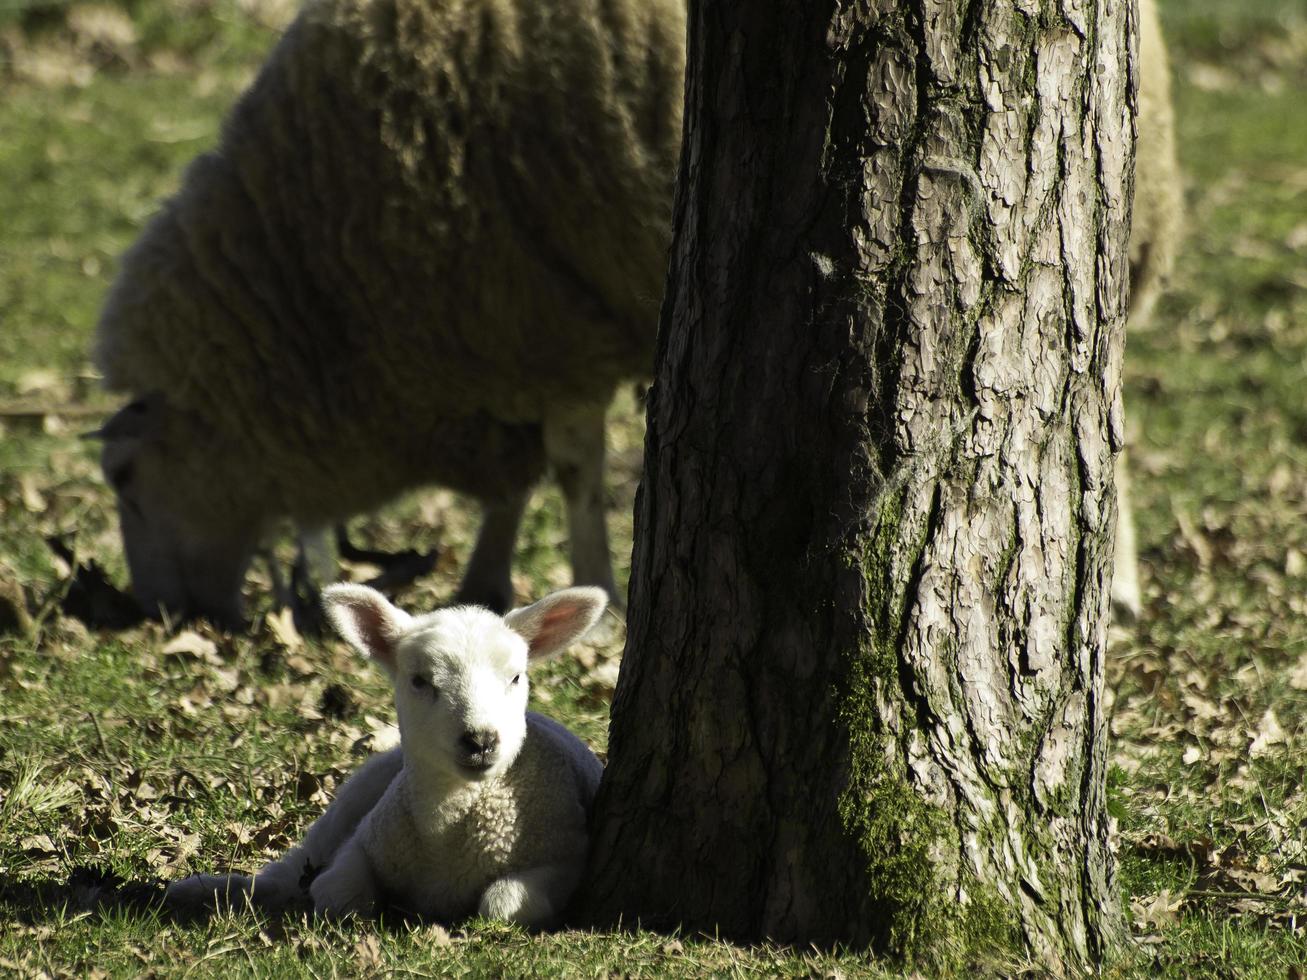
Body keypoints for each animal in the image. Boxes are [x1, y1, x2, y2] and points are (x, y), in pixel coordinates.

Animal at [163, 588, 606, 925]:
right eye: (419, 681)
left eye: (516, 677)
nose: (480, 740)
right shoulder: (361, 843)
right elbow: (335, 893)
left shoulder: (566, 858)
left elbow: (500, 904)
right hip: (349, 803)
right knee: (288, 871)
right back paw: (204, 889)